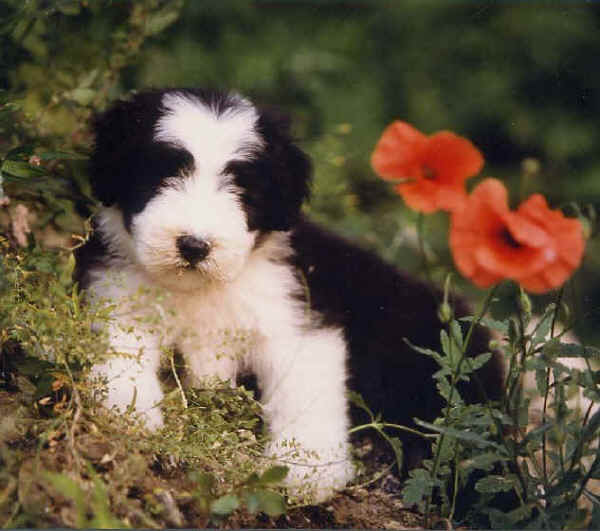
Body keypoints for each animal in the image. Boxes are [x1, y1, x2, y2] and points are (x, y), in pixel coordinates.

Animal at [76, 88, 506, 502]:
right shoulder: (114, 293)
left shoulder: (296, 317)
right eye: (161, 175)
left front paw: (306, 470)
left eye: (242, 189)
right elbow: (120, 348)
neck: (205, 290)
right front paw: (127, 406)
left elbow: (304, 391)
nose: (194, 246)